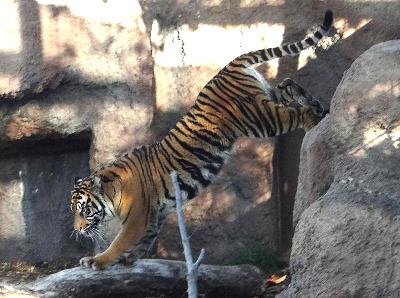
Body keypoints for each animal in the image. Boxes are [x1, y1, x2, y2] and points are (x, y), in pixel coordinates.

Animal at [70, 10, 332, 270]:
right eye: (74, 210)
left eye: (84, 210)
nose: (78, 229)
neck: (113, 190)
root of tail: (230, 65)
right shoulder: (153, 217)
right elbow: (144, 242)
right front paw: (128, 260)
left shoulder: (138, 217)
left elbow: (119, 242)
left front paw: (97, 261)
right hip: (266, 98)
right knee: (288, 87)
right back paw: (317, 106)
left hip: (260, 118)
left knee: (296, 112)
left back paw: (313, 121)